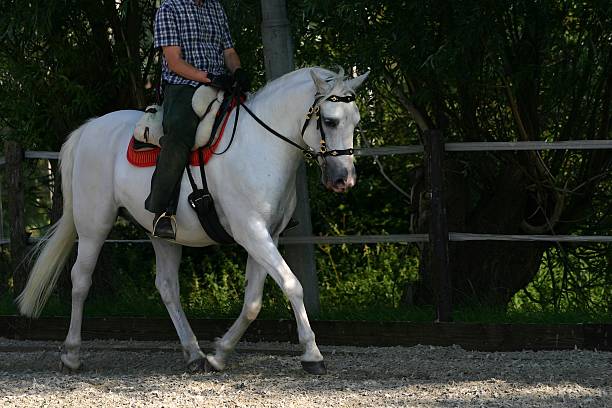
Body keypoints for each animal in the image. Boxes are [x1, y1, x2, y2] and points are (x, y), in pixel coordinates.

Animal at [16, 66, 368, 372]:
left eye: (356, 122)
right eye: (330, 121)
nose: (344, 180)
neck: (259, 145)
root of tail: (90, 127)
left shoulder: (267, 235)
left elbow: (253, 302)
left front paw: (219, 354)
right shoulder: (252, 232)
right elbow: (292, 285)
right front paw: (312, 354)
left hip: (160, 234)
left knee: (167, 286)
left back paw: (194, 353)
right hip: (93, 225)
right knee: (80, 280)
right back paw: (71, 355)